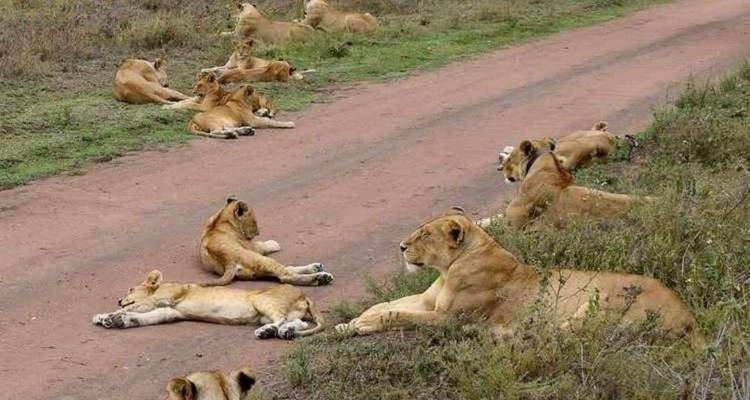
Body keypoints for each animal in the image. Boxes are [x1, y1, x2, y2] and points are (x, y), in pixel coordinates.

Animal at [92, 270, 325, 340]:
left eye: (130, 289)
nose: (118, 298)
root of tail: (304, 295)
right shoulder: (170, 311)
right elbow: (143, 317)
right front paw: (116, 319)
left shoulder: (166, 298)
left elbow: (135, 307)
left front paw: (107, 315)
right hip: (274, 313)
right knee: (300, 323)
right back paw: (285, 332)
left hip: (262, 300)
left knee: (281, 319)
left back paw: (267, 331)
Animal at [199, 196, 334, 286]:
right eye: (255, 221)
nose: (258, 233)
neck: (220, 220)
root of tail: (228, 261)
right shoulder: (253, 247)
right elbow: (263, 245)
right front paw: (274, 243)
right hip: (261, 259)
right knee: (285, 276)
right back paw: (320, 278)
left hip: (258, 270)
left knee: (286, 269)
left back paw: (316, 268)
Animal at [336, 208, 703, 350]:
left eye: (425, 235)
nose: (400, 247)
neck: (448, 268)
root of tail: (689, 317)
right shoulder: (428, 301)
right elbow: (384, 303)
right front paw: (350, 322)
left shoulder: (448, 318)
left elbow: (397, 313)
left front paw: (362, 325)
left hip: (600, 303)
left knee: (553, 337)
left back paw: (492, 333)